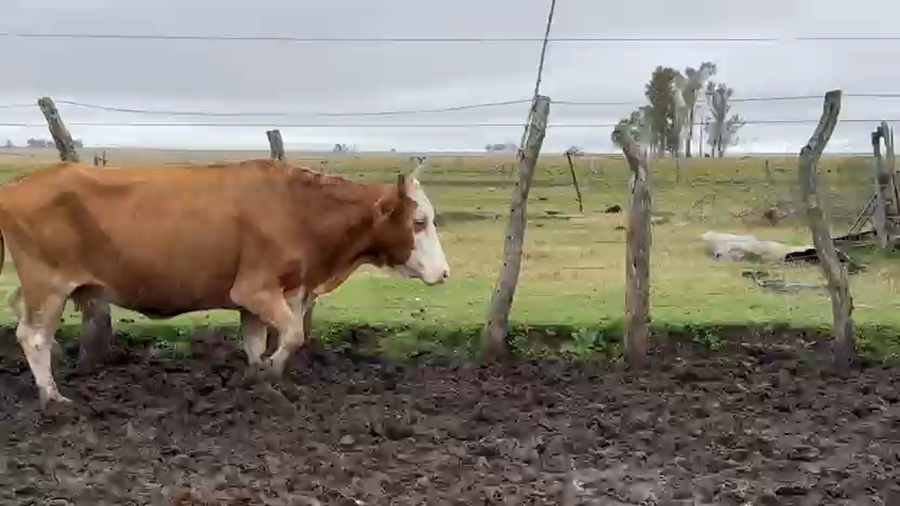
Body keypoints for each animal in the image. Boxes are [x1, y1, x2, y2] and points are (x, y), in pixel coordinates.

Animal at [0, 158, 450, 409]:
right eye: (419, 221)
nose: (444, 273)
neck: (299, 209)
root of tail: (18, 185)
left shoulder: (263, 298)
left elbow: (256, 342)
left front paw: (257, 381)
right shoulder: (255, 288)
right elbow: (291, 334)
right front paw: (270, 372)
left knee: (27, 322)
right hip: (48, 284)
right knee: (32, 336)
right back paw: (53, 398)